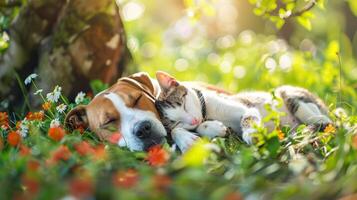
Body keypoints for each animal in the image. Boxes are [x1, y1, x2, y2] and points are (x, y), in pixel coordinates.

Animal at [154, 71, 330, 152]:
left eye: (183, 104)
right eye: (176, 121)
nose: (194, 121)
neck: (206, 113)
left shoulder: (244, 106)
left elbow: (248, 116)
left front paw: (252, 133)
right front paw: (212, 128)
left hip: (288, 93)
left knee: (312, 111)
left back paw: (319, 120)